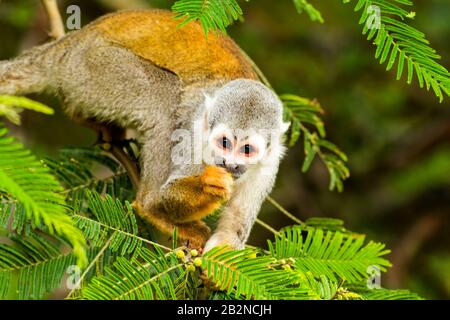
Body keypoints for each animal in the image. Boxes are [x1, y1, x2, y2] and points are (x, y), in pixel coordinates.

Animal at [0, 9, 288, 250]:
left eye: (247, 149)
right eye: (224, 143)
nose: (229, 164)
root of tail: (71, 43)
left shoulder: (269, 163)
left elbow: (232, 232)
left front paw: (215, 270)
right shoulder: (194, 129)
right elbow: (171, 190)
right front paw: (208, 185)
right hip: (96, 66)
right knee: (165, 102)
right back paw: (151, 206)